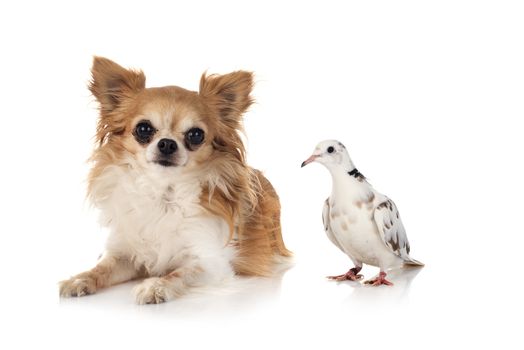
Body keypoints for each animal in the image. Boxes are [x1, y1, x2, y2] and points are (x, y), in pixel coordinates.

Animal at [60, 57, 294, 304]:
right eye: (143, 129)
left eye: (196, 135)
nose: (167, 143)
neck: (163, 193)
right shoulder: (126, 254)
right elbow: (102, 267)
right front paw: (80, 279)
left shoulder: (211, 264)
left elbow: (180, 273)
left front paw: (156, 286)